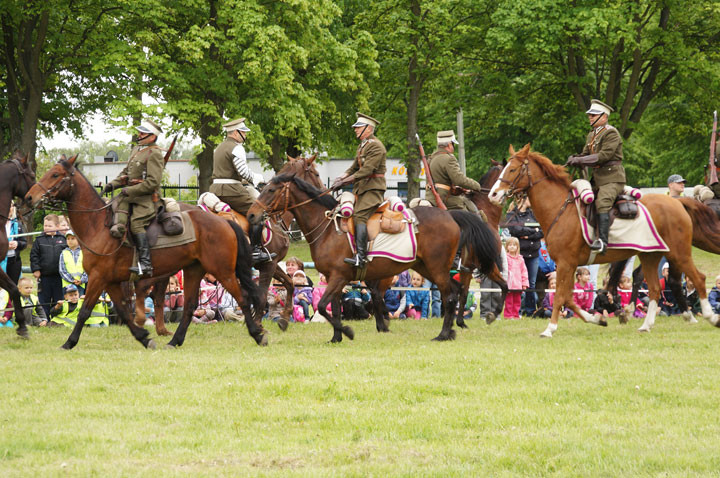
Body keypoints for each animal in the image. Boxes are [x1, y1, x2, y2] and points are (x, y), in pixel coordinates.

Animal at [26, 155, 268, 350]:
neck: (97, 225)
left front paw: (69, 342)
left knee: (243, 298)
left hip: (223, 271)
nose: (29, 197)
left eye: (55, 174)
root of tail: (224, 222)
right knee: (189, 307)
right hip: (194, 270)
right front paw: (144, 337)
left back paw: (258, 335)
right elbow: (124, 311)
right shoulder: (110, 281)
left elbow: (85, 311)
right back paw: (174, 341)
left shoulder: (98, 278)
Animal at [248, 161, 500, 344]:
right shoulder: (334, 278)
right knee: (456, 290)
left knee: (449, 296)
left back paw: (444, 334)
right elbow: (335, 308)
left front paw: (347, 331)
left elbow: (322, 307)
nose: (251, 214)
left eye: (271, 190)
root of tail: (450, 215)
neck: (328, 227)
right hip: (426, 267)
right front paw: (337, 337)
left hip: (437, 267)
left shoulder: (338, 276)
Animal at [486, 145, 716, 336]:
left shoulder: (566, 264)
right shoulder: (567, 265)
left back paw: (711, 317)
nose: (493, 195)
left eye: (512, 170)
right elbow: (568, 298)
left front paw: (550, 329)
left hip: (678, 253)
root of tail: (677, 202)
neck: (560, 209)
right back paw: (646, 325)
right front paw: (597, 319)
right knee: (655, 289)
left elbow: (560, 296)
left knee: (699, 279)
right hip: (651, 255)